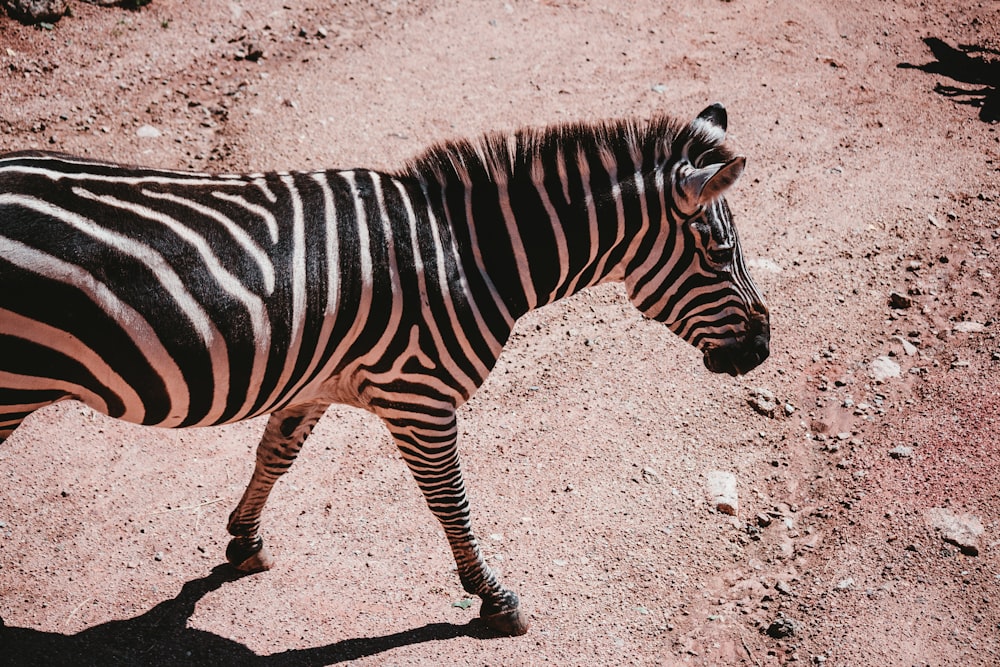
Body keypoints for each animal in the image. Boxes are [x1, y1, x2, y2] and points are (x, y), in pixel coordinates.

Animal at [0, 103, 768, 636]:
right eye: (718, 253)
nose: (762, 350)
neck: (471, 253)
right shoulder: (419, 396)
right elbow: (451, 502)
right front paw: (494, 599)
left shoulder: (315, 380)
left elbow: (276, 454)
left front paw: (244, 541)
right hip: (13, 385)